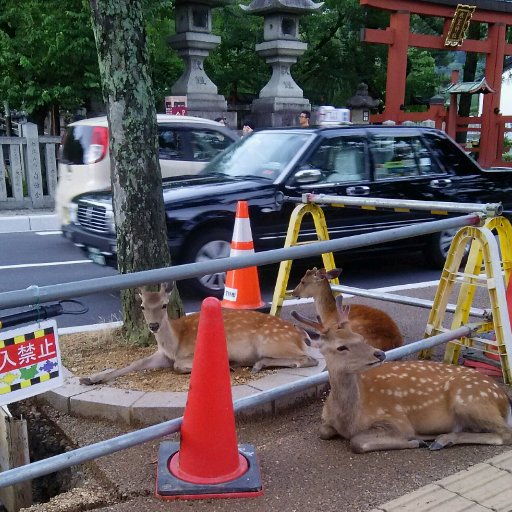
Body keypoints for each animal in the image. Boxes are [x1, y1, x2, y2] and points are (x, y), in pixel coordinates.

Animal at [80, 282, 318, 386]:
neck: (174, 343)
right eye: (142, 306)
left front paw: (227, 365)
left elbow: (178, 366)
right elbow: (135, 363)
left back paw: (256, 364)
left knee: (308, 359)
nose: (154, 326)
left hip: (270, 341)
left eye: (164, 305)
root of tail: (301, 335)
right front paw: (91, 378)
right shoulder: (162, 355)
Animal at [292, 294, 512, 454]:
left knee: (505, 434)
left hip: (470, 399)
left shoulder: (396, 419)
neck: (348, 417)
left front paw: (415, 441)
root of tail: (503, 397)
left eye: (360, 337)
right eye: (341, 347)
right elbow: (323, 431)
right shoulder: (326, 422)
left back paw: (441, 439)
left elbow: (357, 442)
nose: (380, 353)